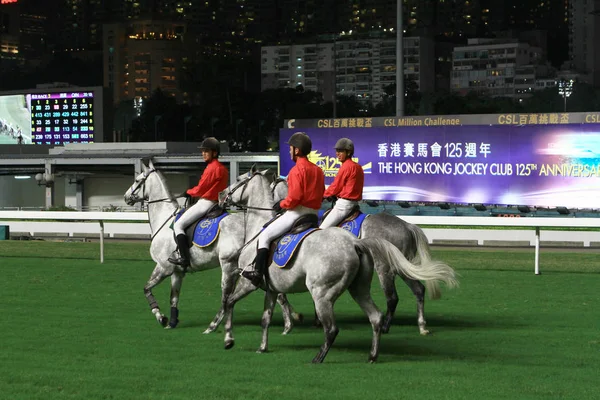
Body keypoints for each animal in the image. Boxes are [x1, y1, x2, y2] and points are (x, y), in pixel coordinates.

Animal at [123, 159, 298, 332]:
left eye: (137, 180)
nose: (126, 197)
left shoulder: (163, 267)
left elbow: (147, 289)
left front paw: (161, 318)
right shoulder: (177, 272)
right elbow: (174, 297)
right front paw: (172, 322)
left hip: (230, 266)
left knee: (230, 294)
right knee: (275, 291)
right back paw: (291, 320)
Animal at [272, 178, 454, 334]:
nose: (275, 208)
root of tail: (407, 225)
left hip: (385, 269)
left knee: (392, 298)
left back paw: (386, 327)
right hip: (403, 266)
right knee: (418, 290)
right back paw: (422, 326)